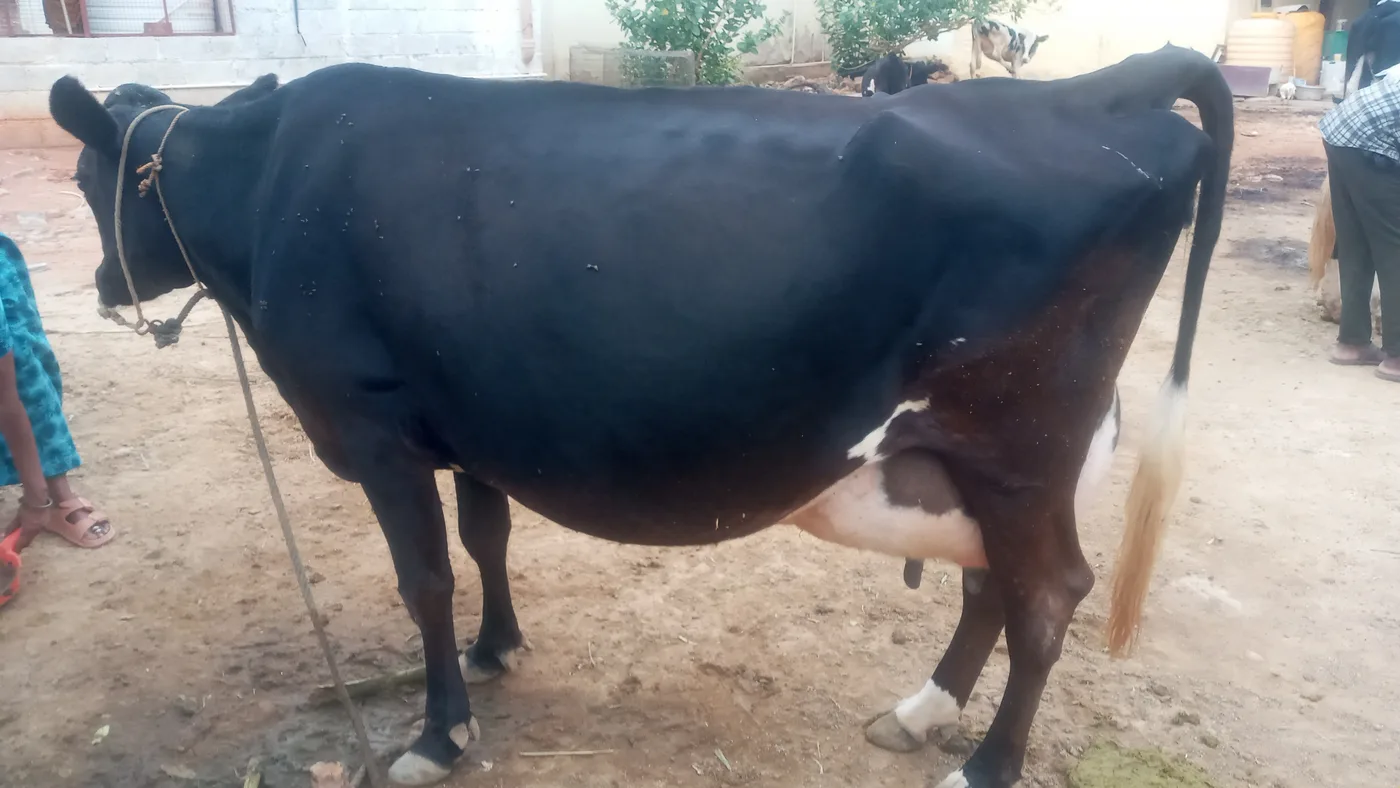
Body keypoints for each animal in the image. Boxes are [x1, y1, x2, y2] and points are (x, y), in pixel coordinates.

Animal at [48, 44, 1232, 787]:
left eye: (82, 176)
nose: (103, 284)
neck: (269, 190)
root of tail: (1090, 93)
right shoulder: (463, 414)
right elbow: (486, 535)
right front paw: (499, 649)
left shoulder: (375, 430)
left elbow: (424, 579)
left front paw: (439, 731)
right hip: (970, 457)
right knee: (992, 582)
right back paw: (920, 710)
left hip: (1019, 444)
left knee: (1048, 597)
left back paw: (983, 764)